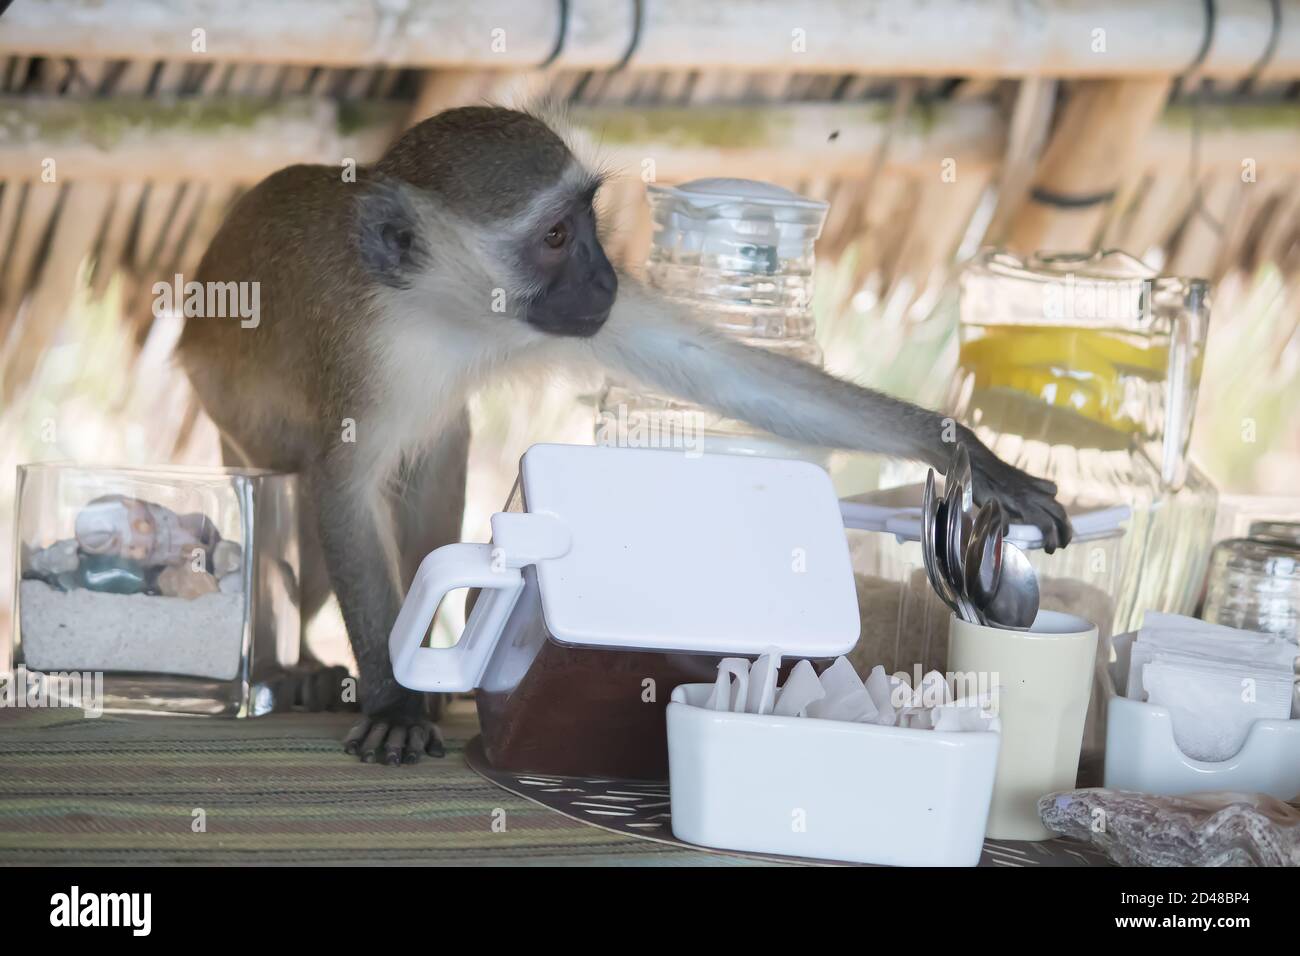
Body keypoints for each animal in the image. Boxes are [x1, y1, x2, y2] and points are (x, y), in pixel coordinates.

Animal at [185, 106, 1076, 764]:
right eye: (554, 236)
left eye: (587, 218)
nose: (606, 275)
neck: (442, 312)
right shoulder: (365, 352)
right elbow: (340, 486)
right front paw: (394, 699)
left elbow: (718, 370)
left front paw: (963, 451)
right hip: (230, 425)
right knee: (299, 500)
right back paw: (305, 669)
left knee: (436, 461)